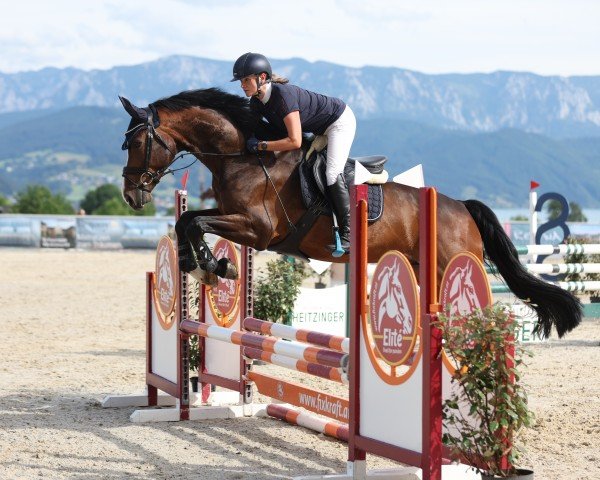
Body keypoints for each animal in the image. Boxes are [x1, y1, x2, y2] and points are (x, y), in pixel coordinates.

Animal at [118, 88, 580, 340]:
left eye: (136, 143)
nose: (130, 195)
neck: (243, 155)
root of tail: (461, 207)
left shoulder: (258, 230)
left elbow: (195, 222)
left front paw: (214, 267)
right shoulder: (234, 215)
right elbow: (187, 220)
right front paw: (202, 265)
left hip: (451, 264)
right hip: (421, 268)